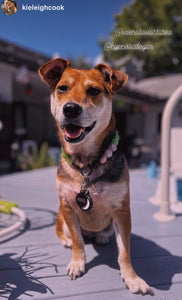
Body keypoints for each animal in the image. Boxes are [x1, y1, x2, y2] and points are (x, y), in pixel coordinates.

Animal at [38, 59, 154, 296]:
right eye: (62, 88)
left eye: (94, 91)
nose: (70, 108)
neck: (86, 165)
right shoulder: (67, 207)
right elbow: (78, 240)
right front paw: (77, 262)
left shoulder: (121, 211)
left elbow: (124, 251)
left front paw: (132, 278)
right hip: (60, 216)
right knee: (64, 231)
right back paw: (66, 240)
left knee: (103, 233)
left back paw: (100, 236)